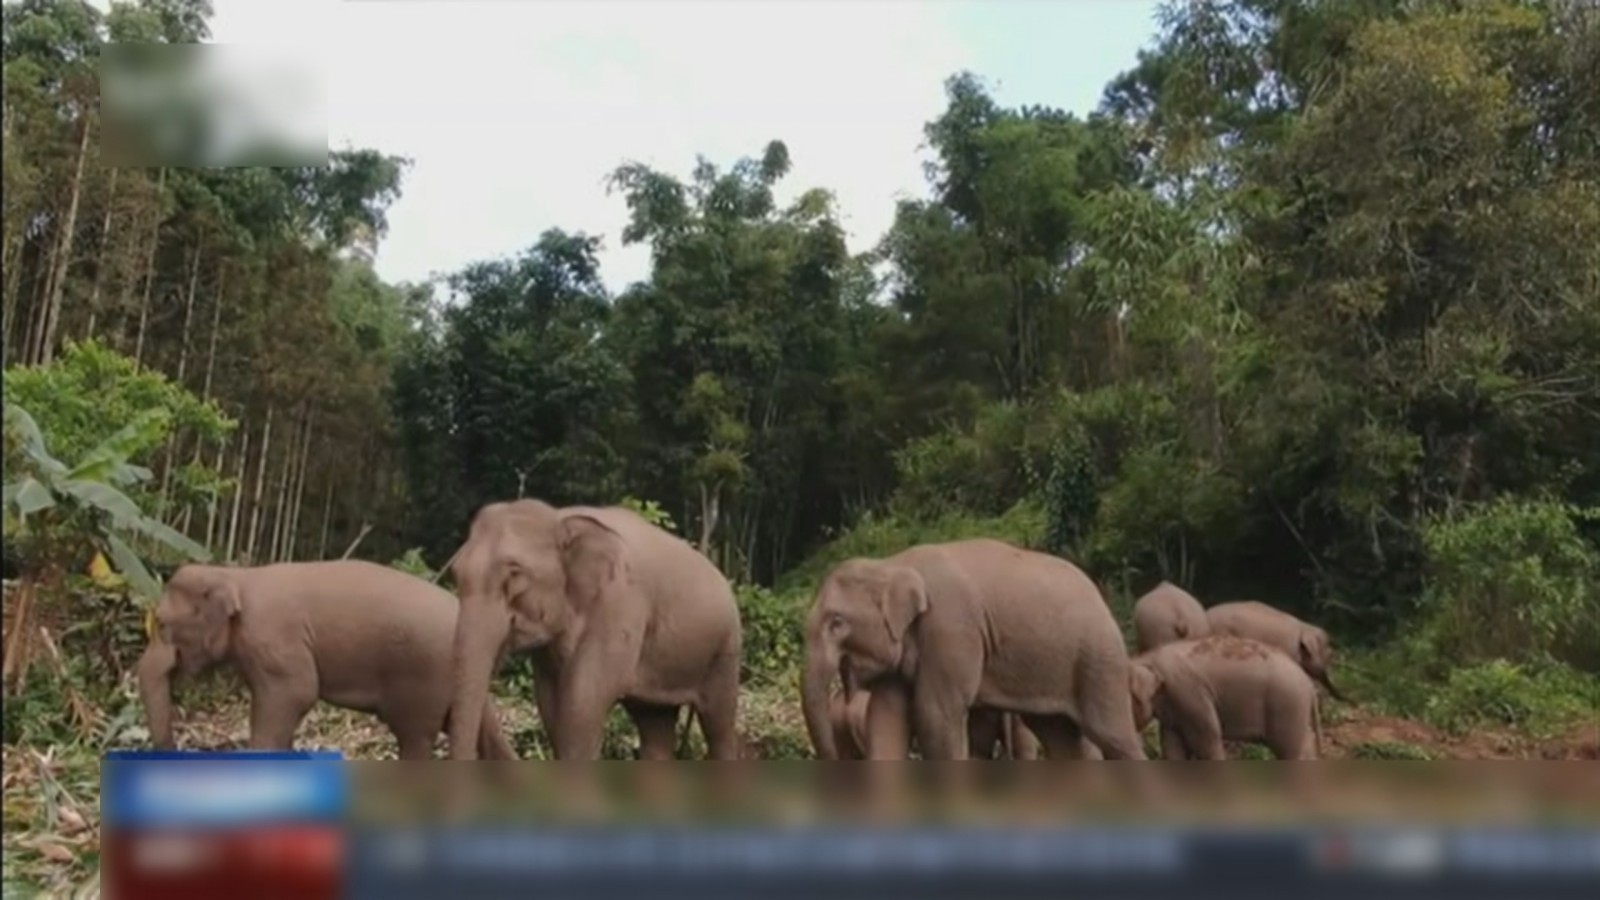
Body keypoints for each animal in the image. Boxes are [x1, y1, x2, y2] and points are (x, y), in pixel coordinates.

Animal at [137, 554, 515, 755]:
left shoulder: (272, 639)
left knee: (415, 737)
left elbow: (296, 693)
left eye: (162, 623)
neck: (233, 575)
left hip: (425, 677)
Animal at [438, 496, 736, 755]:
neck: (560, 517)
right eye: (455, 573)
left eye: (514, 574)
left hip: (725, 648)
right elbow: (550, 701)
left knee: (719, 725)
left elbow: (584, 699)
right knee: (655, 725)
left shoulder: (620, 603)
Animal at [806, 538, 1145, 755]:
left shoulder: (951, 629)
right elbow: (886, 718)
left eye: (836, 623)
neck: (893, 564)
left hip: (1099, 658)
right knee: (1057, 735)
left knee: (1112, 734)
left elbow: (935, 715)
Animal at [1132, 630, 1331, 755]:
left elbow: (1208, 738)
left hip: (1287, 705)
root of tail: (1308, 684)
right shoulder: (1173, 706)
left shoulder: (1189, 694)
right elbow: (1173, 746)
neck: (1148, 657)